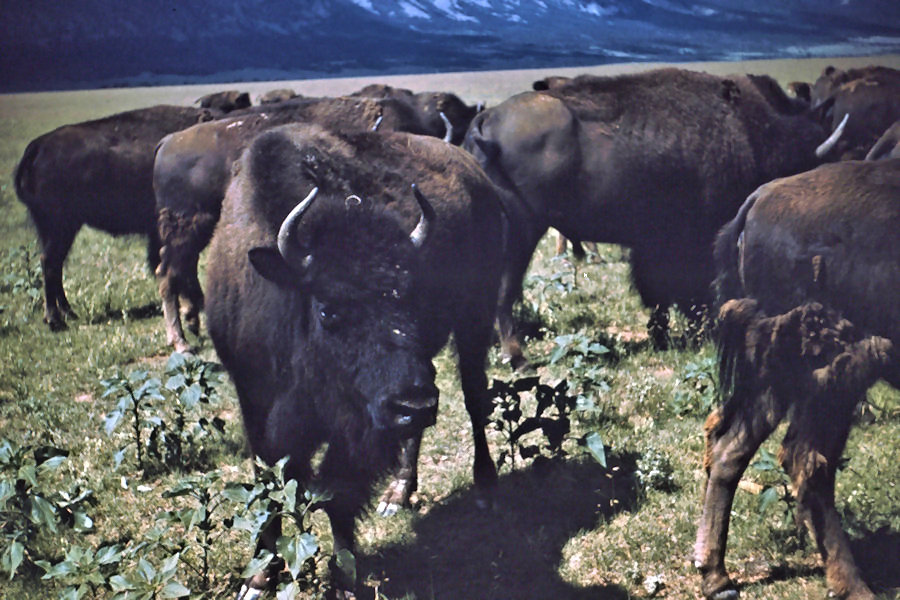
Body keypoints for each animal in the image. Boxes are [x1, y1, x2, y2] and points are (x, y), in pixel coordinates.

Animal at [13, 104, 226, 329]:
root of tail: (37, 147)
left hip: (61, 229)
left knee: (56, 264)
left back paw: (68, 313)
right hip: (60, 227)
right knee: (50, 263)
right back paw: (55, 320)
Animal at [205, 124, 505, 597]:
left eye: (412, 297)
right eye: (328, 309)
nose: (414, 403)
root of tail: (474, 173)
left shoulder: (357, 426)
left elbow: (338, 493)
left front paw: (345, 577)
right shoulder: (254, 401)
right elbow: (269, 484)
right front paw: (259, 577)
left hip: (474, 320)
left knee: (475, 398)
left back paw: (486, 488)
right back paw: (398, 493)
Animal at [463, 68, 831, 366]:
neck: (754, 130)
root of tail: (487, 120)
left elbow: (657, 294)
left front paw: (664, 335)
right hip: (522, 231)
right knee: (505, 290)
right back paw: (518, 359)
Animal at [696, 158, 900, 600]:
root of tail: (757, 201)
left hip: (776, 377)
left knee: (729, 444)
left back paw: (716, 577)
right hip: (831, 375)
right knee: (809, 462)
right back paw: (854, 585)